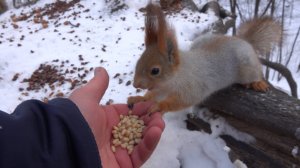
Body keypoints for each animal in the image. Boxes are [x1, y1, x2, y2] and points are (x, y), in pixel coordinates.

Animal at [127, 2, 282, 114]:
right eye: (138, 62)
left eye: (155, 71)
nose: (135, 84)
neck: (175, 77)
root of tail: (243, 41)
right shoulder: (162, 88)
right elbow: (153, 94)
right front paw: (139, 98)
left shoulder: (192, 88)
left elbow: (182, 101)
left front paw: (160, 106)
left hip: (248, 67)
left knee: (256, 73)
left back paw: (258, 83)